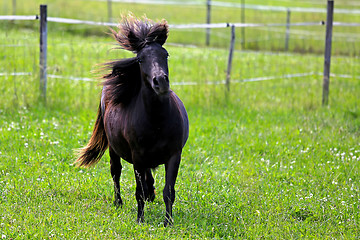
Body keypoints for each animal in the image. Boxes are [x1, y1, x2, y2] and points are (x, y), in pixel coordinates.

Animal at [75, 15, 190, 227]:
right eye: (140, 59)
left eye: (166, 55)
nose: (161, 82)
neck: (157, 121)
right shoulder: (137, 157)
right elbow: (138, 191)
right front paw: (140, 219)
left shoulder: (174, 155)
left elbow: (168, 192)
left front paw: (168, 222)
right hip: (114, 149)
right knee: (116, 172)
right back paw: (118, 202)